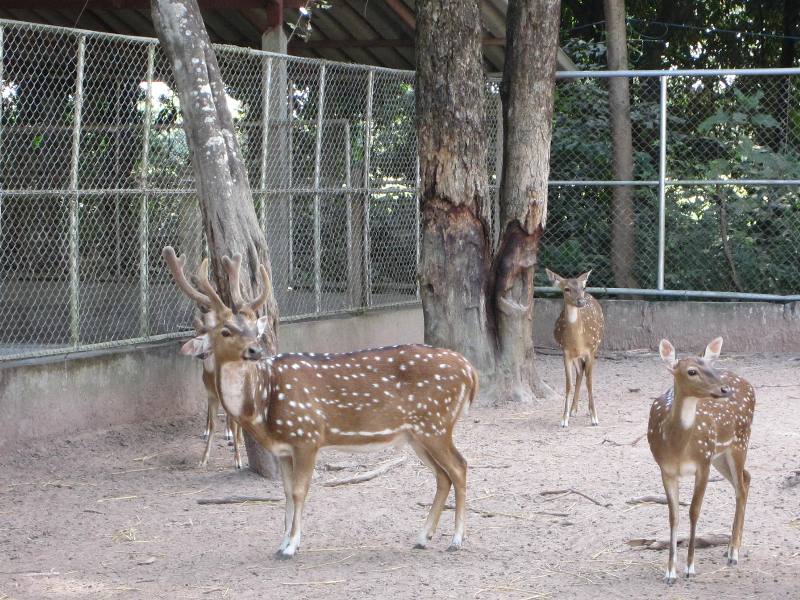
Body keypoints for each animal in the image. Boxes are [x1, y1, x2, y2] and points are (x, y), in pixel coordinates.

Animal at [548, 270, 604, 428]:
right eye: (566, 289)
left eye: (582, 287)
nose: (581, 301)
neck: (577, 341)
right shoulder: (565, 352)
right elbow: (568, 384)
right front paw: (564, 419)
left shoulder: (591, 351)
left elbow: (590, 382)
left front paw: (595, 418)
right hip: (575, 356)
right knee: (579, 372)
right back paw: (573, 410)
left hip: (596, 346)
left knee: (584, 373)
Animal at [648, 340, 756, 584]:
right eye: (691, 371)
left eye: (710, 365)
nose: (725, 389)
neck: (678, 448)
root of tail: (747, 383)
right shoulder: (665, 469)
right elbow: (674, 516)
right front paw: (670, 573)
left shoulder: (703, 463)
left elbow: (694, 511)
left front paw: (690, 568)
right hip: (720, 456)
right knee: (746, 478)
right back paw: (731, 547)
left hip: (739, 442)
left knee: (740, 487)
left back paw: (734, 553)